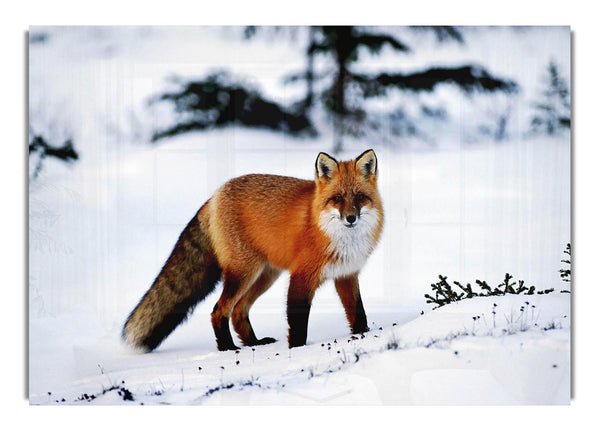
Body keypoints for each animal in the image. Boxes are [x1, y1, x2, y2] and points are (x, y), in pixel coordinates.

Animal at [122, 150, 384, 352]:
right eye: (337, 198)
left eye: (360, 197)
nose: (350, 218)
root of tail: (215, 195)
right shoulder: (301, 277)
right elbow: (298, 324)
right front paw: (297, 351)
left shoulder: (346, 274)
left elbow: (358, 313)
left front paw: (362, 336)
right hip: (244, 272)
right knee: (219, 311)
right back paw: (228, 348)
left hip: (265, 275)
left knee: (238, 311)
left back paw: (254, 343)